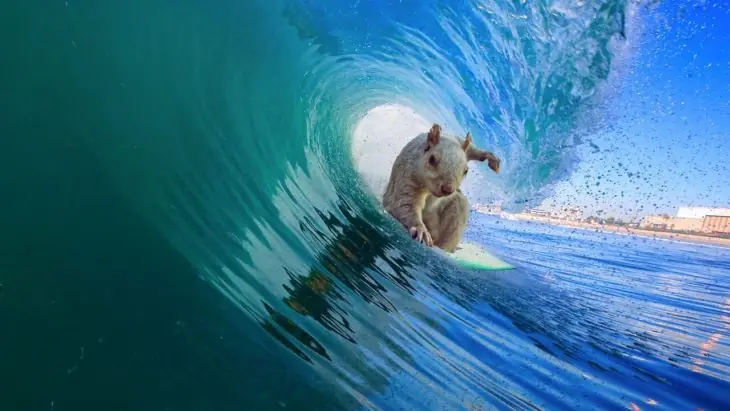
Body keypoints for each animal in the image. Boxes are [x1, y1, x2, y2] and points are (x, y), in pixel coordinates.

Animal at [382, 123, 501, 252]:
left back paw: (444, 247)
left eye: (466, 171)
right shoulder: (408, 177)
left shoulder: (457, 140)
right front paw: (420, 230)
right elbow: (405, 203)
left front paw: (492, 159)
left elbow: (471, 149)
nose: (448, 189)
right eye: (432, 159)